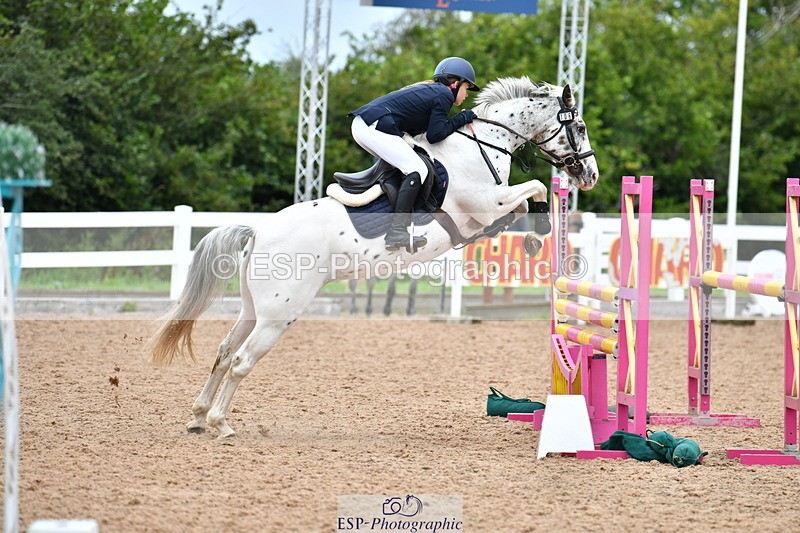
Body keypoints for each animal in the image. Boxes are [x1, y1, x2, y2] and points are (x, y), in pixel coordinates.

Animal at [145, 76, 599, 438]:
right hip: (279, 315)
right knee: (240, 361)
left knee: (224, 353)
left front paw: (533, 236)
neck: (482, 145)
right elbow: (534, 190)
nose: (590, 176)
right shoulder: (486, 205)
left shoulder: (488, 210)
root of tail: (258, 232)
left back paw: (198, 417)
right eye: (578, 126)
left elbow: (526, 201)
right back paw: (221, 424)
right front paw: (540, 234)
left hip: (253, 309)